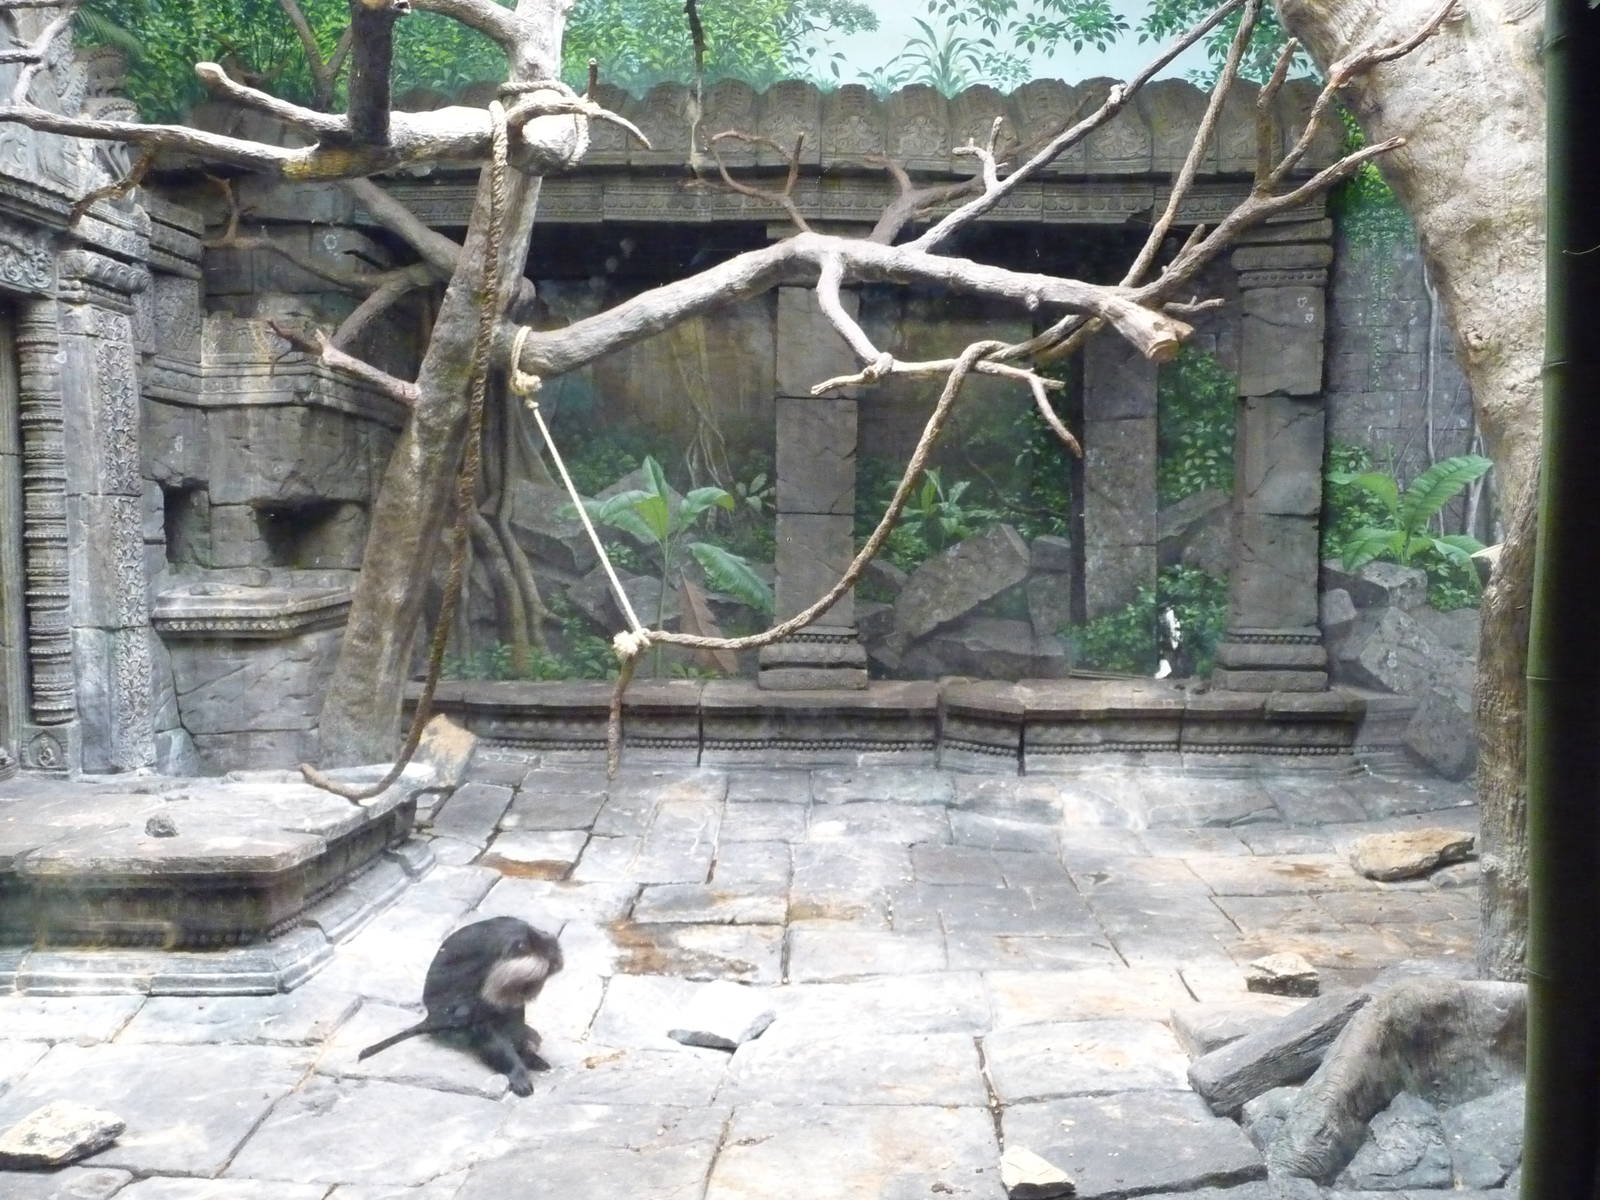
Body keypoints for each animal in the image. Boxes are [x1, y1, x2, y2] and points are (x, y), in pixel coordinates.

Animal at [357, 916, 563, 1096]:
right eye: (537, 979)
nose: (529, 991)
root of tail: (429, 1019)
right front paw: (517, 1071)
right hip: (444, 1020)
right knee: (469, 1011)